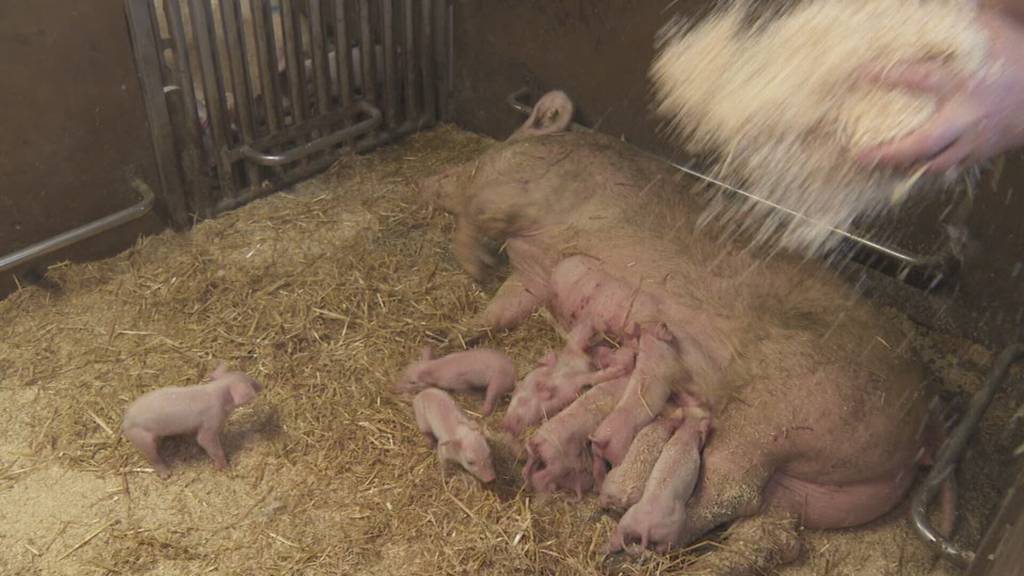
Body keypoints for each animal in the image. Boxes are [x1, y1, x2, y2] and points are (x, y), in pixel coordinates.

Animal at [121, 360, 262, 477]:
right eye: (250, 382)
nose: (262, 385)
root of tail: (125, 421)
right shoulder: (211, 421)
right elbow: (205, 441)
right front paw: (224, 467)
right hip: (142, 438)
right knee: (152, 457)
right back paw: (166, 474)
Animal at [606, 407, 712, 553]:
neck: (684, 437)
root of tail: (645, 527)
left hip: (628, 519)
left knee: (618, 537)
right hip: (672, 531)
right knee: (661, 548)